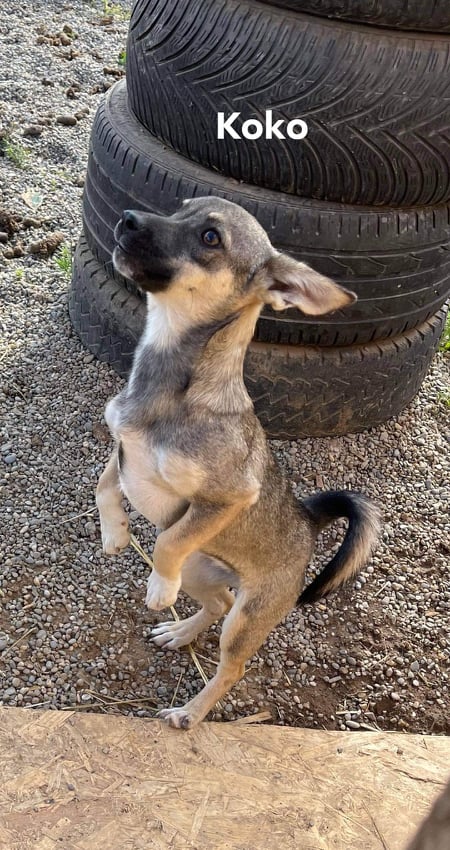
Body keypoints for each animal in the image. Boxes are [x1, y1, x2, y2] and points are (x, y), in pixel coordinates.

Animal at [96, 195, 382, 724]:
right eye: (179, 207)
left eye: (211, 238)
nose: (126, 218)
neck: (169, 385)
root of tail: (308, 518)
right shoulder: (122, 446)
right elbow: (104, 487)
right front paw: (115, 535)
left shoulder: (229, 497)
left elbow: (166, 541)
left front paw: (157, 588)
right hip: (200, 570)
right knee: (217, 602)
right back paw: (180, 632)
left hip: (246, 619)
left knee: (232, 665)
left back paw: (190, 711)